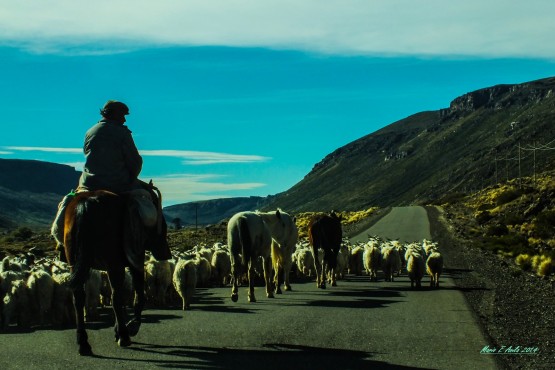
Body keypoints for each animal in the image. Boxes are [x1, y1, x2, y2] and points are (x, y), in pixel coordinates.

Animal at [62, 186, 169, 356]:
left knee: (78, 299)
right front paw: (131, 327)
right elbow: (139, 295)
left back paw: (83, 343)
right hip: (114, 263)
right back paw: (124, 336)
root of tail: (86, 203)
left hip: (76, 263)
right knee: (116, 297)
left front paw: (119, 330)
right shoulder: (135, 259)